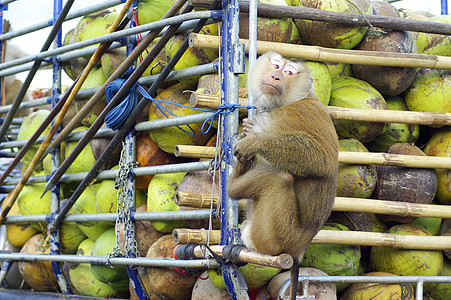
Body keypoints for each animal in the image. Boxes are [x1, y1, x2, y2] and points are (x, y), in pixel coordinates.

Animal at [230, 50, 340, 298]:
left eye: (289, 72)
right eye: (276, 65)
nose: (276, 76)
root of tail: (298, 251)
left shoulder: (298, 113)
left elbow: (322, 160)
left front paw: (255, 141)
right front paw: (247, 130)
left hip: (276, 236)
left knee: (279, 177)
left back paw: (231, 188)